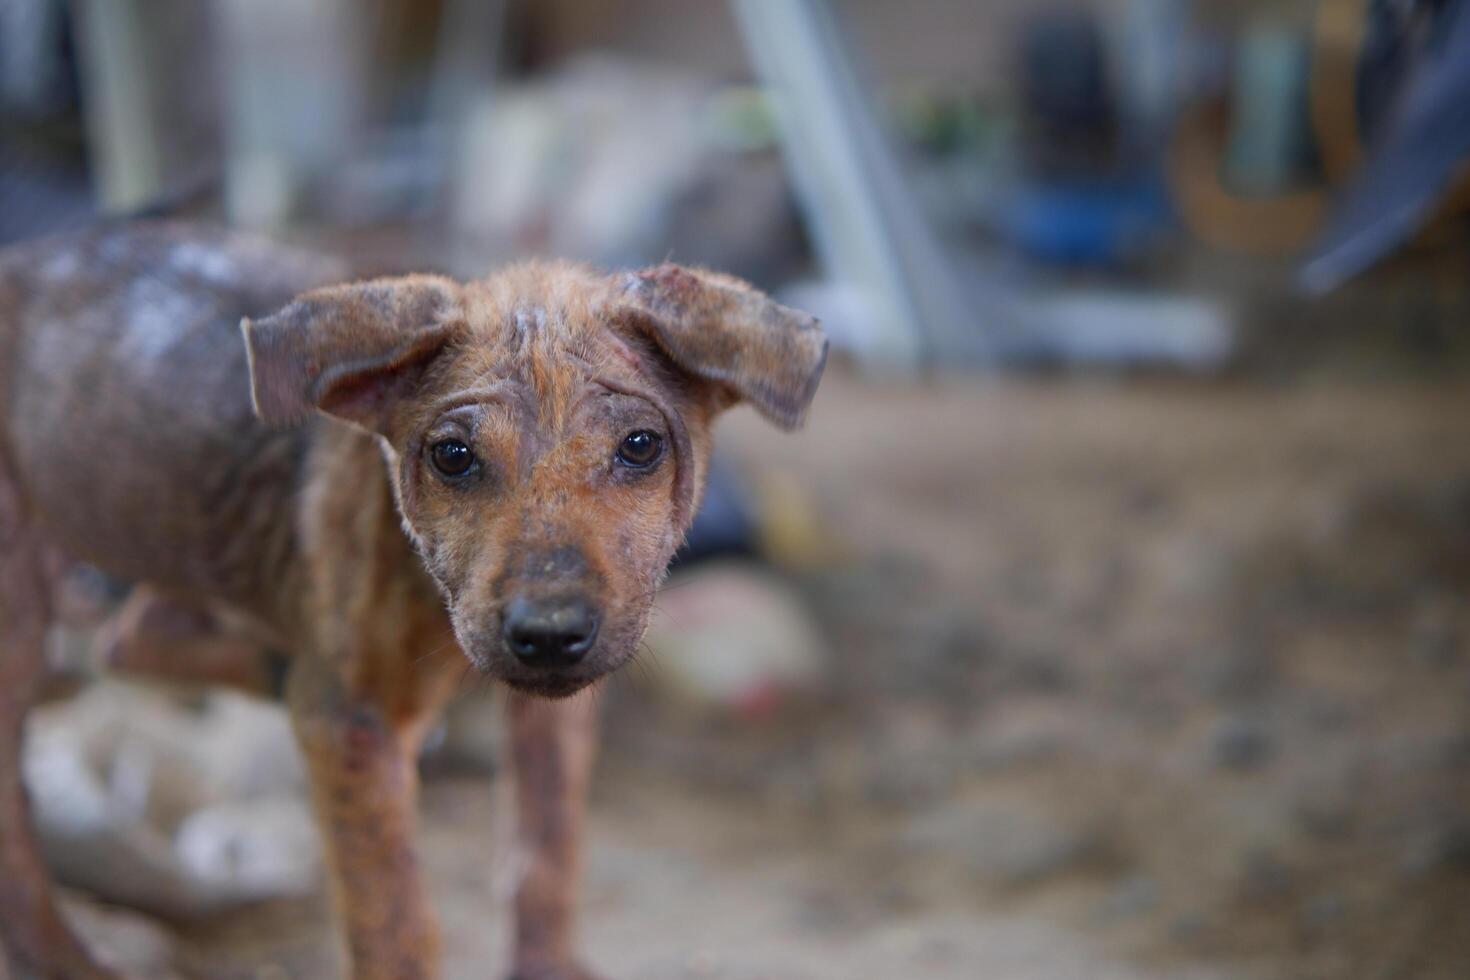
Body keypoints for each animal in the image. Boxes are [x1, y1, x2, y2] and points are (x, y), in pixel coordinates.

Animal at [0, 224, 829, 980]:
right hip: (19, 616)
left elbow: (546, 850)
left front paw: (548, 964)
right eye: (453, 456)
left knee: (133, 634)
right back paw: (67, 956)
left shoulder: (557, 710)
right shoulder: (351, 726)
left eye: (641, 446)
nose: (548, 633)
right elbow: (393, 921)